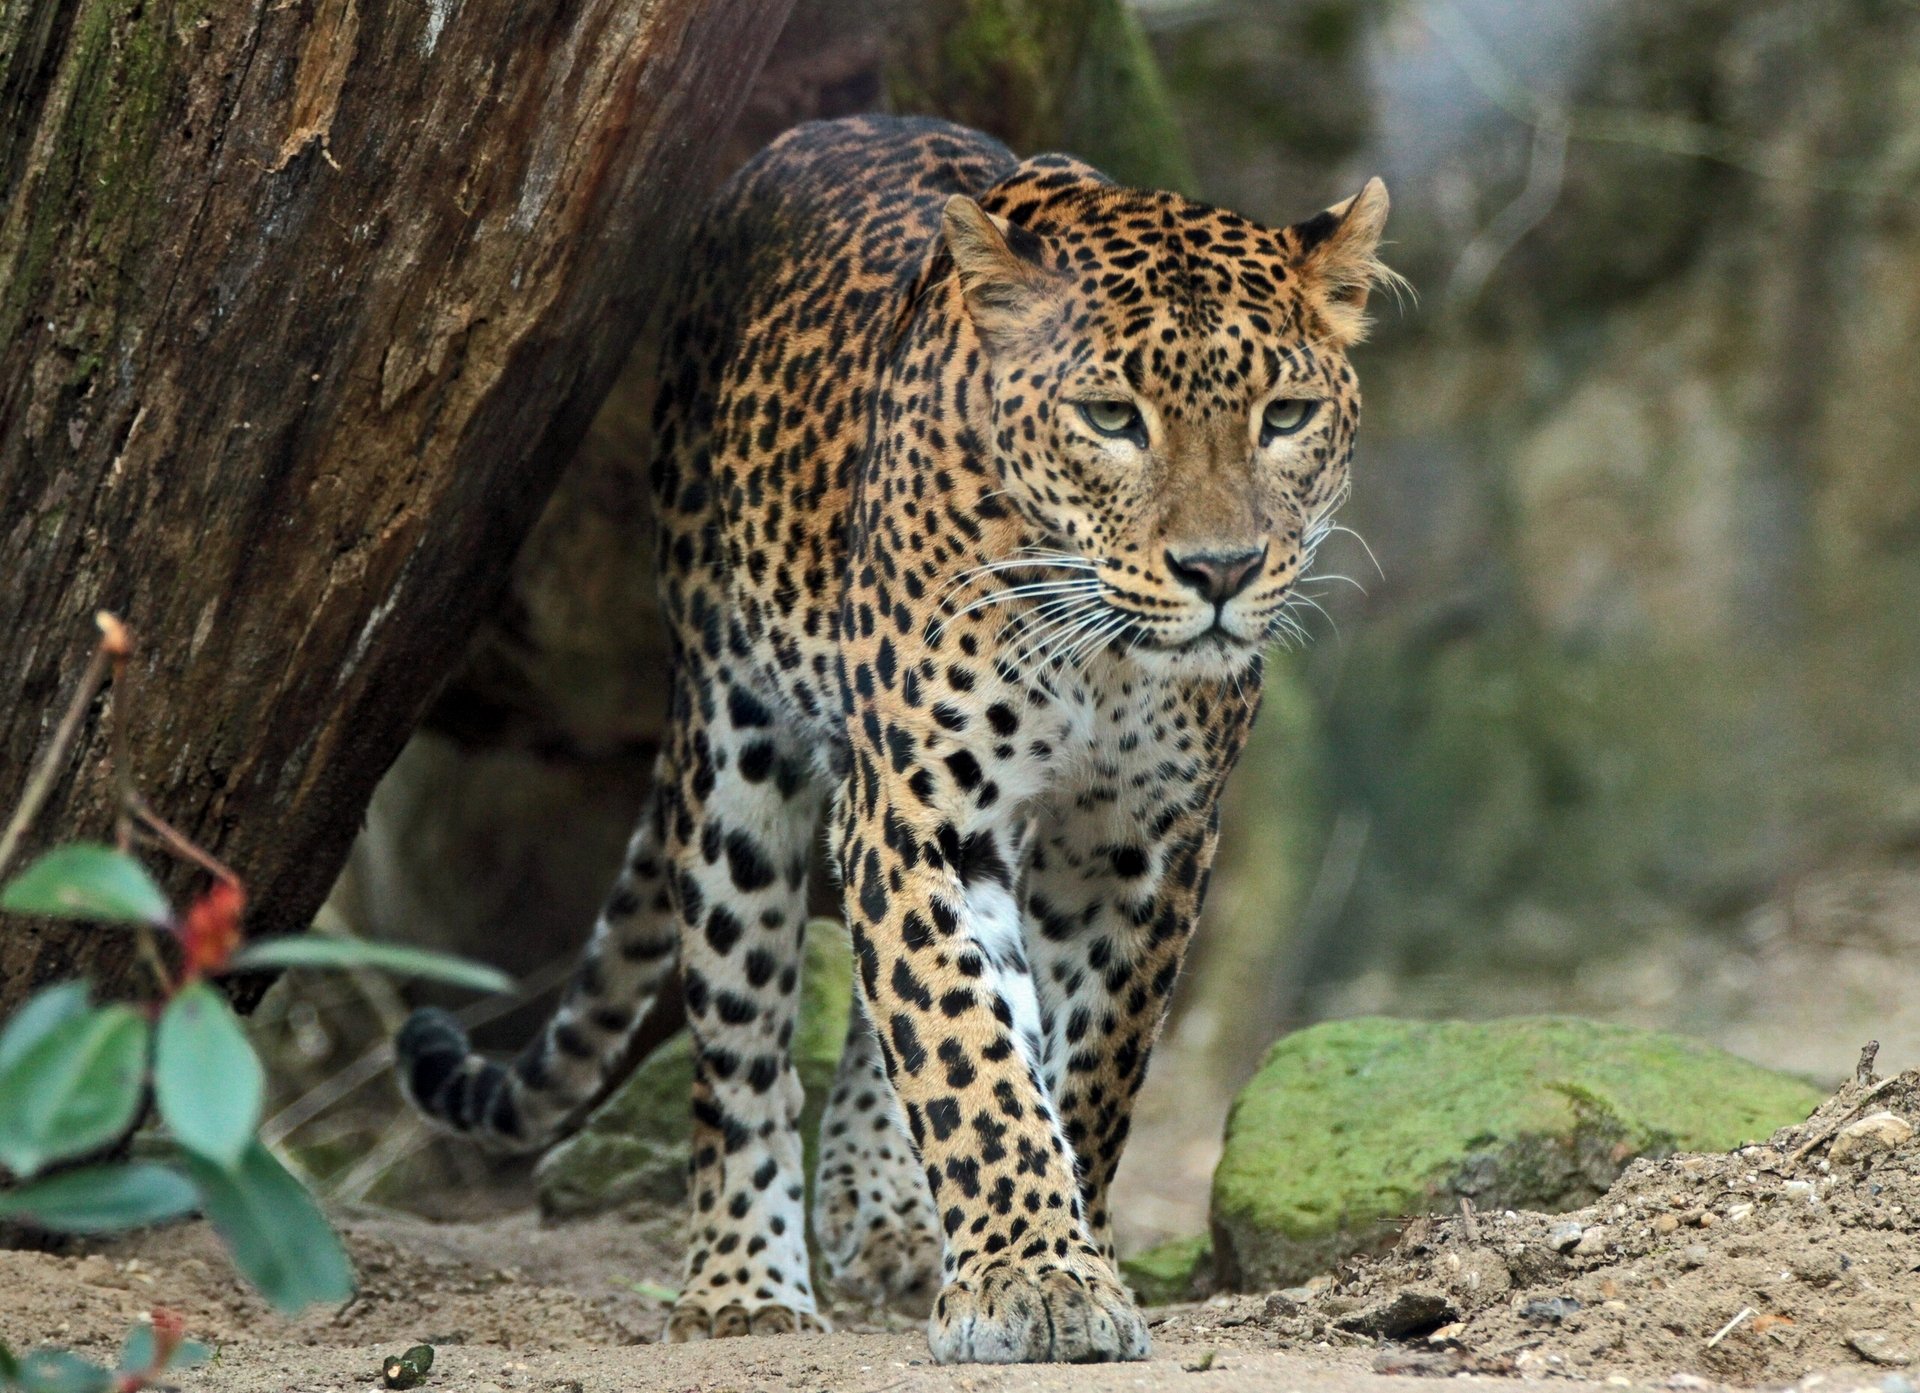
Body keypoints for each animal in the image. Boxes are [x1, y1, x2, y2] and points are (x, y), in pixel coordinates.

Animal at [395, 113, 1392, 1364]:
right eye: (1112, 419)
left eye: (1285, 417)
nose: (1221, 572)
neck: (1102, 653)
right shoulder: (920, 807)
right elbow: (961, 1038)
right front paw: (1032, 1273)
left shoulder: (1145, 844)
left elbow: (1083, 1060)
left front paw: (1056, 1246)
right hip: (731, 755)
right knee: (741, 1047)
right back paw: (743, 1279)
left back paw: (888, 1217)